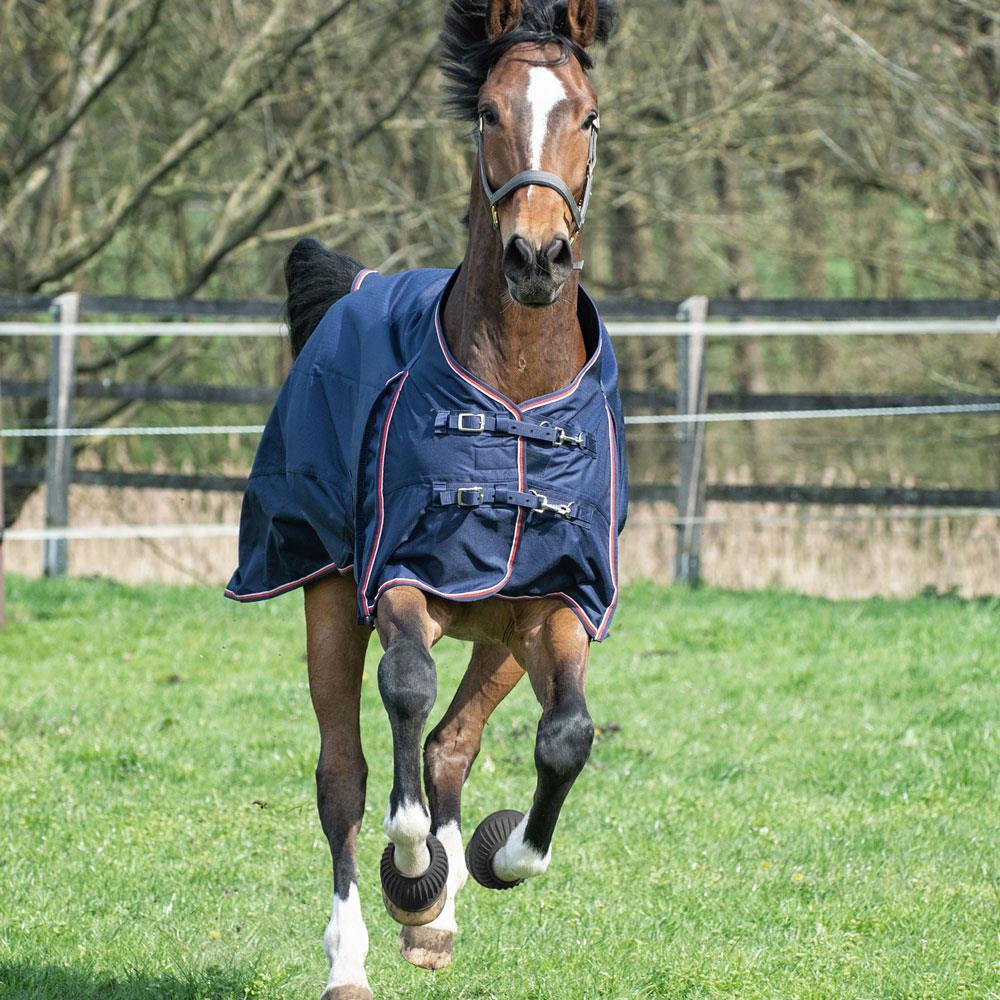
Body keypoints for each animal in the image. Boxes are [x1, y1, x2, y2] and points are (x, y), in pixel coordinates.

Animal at [227, 3, 624, 996]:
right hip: (331, 599)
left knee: (451, 743)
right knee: (346, 773)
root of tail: (359, 288)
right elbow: (403, 695)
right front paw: (412, 871)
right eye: (487, 111)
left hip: (499, 633)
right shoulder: (399, 578)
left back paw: (437, 919)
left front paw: (492, 859)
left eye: (589, 116)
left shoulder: (557, 601)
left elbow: (566, 737)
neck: (514, 403)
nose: (537, 256)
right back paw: (357, 951)